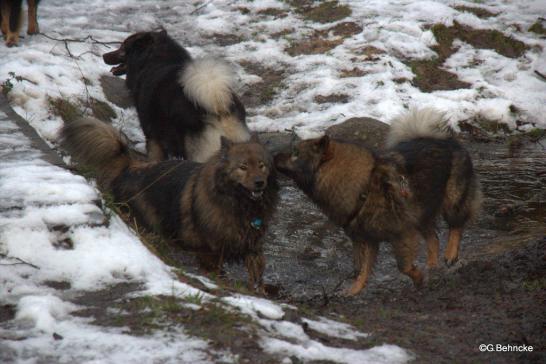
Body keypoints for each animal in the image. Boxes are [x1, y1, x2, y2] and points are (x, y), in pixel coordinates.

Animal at [274, 108, 478, 296]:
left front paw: (419, 278)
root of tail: (447, 140)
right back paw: (432, 267)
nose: (274, 155)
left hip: (451, 200)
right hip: (419, 212)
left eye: (295, 153)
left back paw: (450, 254)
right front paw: (353, 291)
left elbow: (403, 266)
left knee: (456, 225)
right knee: (433, 239)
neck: (364, 188)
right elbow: (362, 270)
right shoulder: (367, 238)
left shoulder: (401, 233)